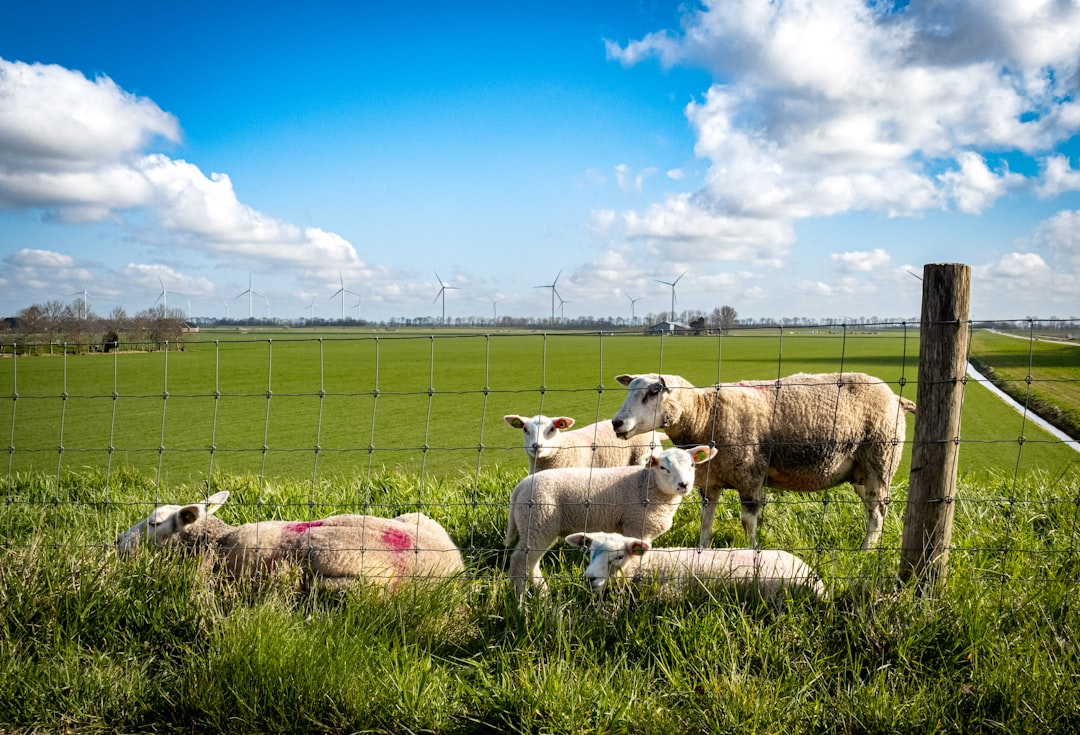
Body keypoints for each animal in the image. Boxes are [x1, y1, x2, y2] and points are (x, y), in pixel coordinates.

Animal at [503, 444, 717, 591]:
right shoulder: (636, 524)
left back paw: (543, 594)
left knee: (531, 563)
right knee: (519, 562)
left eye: (692, 465)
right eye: (664, 468)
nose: (684, 485)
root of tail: (520, 487)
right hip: (538, 522)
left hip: (539, 526)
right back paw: (521, 602)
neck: (649, 484)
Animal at [613, 375, 915, 548]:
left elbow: (748, 522)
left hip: (880, 460)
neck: (705, 413)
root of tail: (895, 397)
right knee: (876, 512)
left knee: (876, 513)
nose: (617, 423)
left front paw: (751, 555)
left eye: (653, 392)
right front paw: (703, 550)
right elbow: (705, 521)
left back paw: (866, 551)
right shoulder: (710, 482)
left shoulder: (750, 477)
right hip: (862, 472)